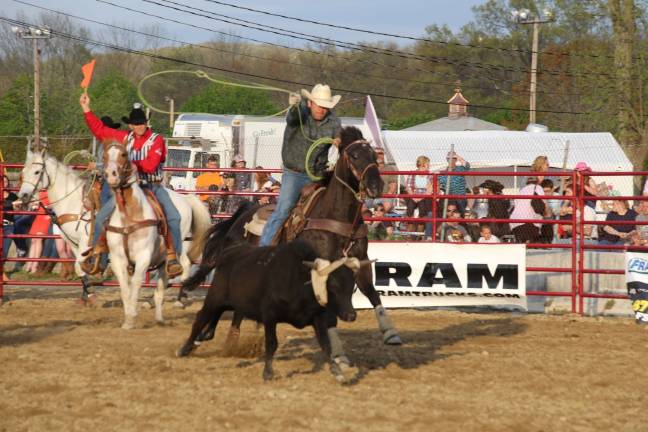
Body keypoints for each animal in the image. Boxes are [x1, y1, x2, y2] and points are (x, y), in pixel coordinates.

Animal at [101, 143, 211, 330]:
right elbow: (125, 288)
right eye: (105, 156)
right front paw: (127, 318)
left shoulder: (143, 256)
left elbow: (136, 282)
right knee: (160, 290)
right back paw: (159, 317)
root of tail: (186, 198)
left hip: (177, 249)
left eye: (124, 154)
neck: (129, 215)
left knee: (184, 266)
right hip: (162, 261)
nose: (111, 175)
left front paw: (132, 315)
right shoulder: (117, 258)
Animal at [181, 126, 400, 370]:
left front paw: (390, 333)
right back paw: (205, 336)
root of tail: (243, 213)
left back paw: (227, 339)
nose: (375, 186)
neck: (337, 218)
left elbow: (372, 293)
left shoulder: (359, 262)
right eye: (354, 156)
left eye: (374, 156)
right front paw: (339, 355)